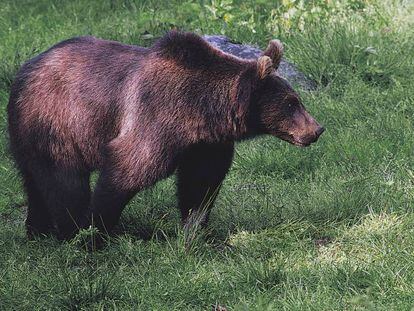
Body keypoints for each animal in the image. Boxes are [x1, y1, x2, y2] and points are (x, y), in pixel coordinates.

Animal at [5, 31, 324, 241]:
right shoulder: (155, 118)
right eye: (291, 103)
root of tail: (25, 69)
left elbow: (201, 183)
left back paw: (37, 229)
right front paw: (95, 229)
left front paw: (195, 229)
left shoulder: (206, 143)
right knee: (65, 182)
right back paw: (67, 231)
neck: (202, 111)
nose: (317, 130)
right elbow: (128, 168)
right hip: (57, 121)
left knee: (34, 180)